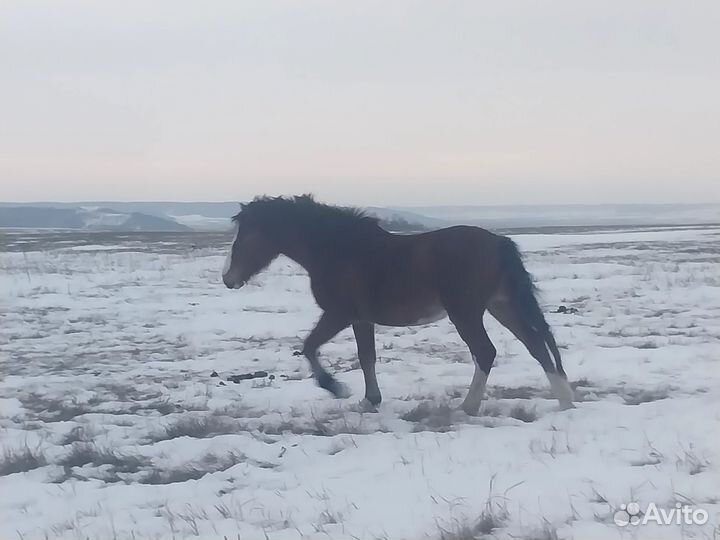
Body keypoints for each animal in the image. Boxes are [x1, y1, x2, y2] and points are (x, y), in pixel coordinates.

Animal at [222, 195, 574, 414]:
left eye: (247, 236)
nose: (228, 279)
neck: (337, 250)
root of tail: (499, 243)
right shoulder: (361, 319)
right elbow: (366, 358)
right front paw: (370, 401)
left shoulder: (339, 314)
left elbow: (309, 347)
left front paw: (336, 388)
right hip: (502, 306)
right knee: (535, 344)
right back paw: (564, 401)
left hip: (466, 312)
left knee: (486, 352)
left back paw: (467, 407)